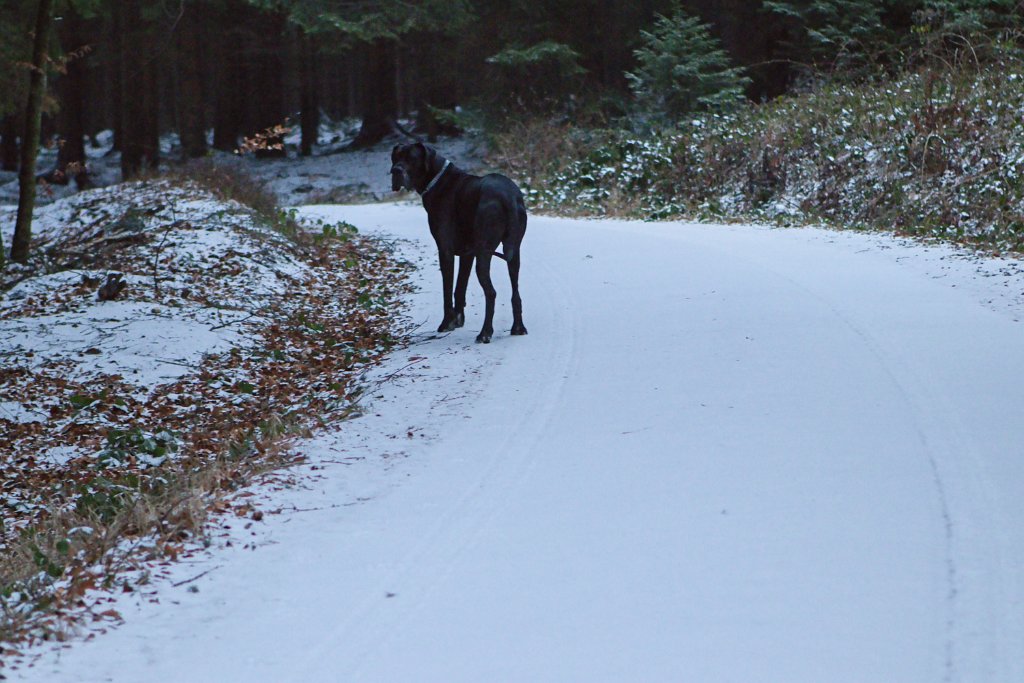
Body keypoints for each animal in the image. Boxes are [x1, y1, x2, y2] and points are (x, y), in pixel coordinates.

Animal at [391, 145, 528, 348]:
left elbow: (447, 290)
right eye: (396, 157)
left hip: (484, 253)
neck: (438, 179)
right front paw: (458, 319)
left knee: (491, 293)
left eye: (411, 158)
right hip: (514, 252)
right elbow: (460, 287)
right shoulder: (468, 253)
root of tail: (508, 196)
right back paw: (518, 327)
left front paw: (446, 323)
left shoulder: (445, 250)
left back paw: (485, 333)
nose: (395, 171)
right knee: (516, 292)